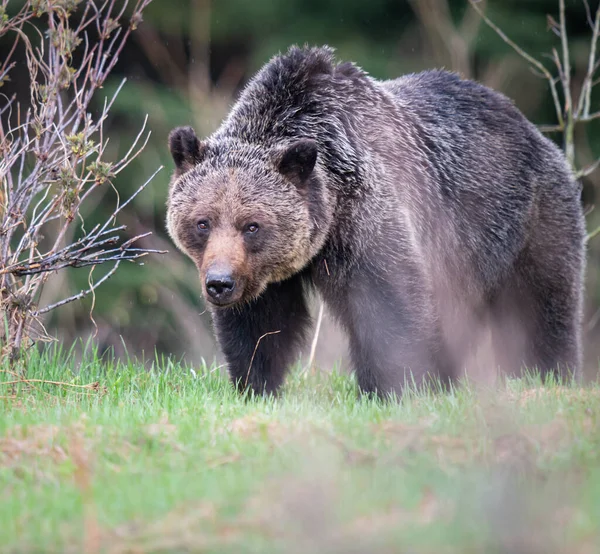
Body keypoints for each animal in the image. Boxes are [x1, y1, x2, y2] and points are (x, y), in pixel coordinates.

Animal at [165, 45, 584, 394]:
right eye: (203, 222)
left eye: (252, 225)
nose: (220, 283)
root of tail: (531, 128)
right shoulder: (265, 274)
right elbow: (261, 323)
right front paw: (256, 383)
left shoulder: (366, 221)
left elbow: (389, 306)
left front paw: (397, 386)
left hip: (526, 220)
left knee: (540, 305)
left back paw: (548, 374)